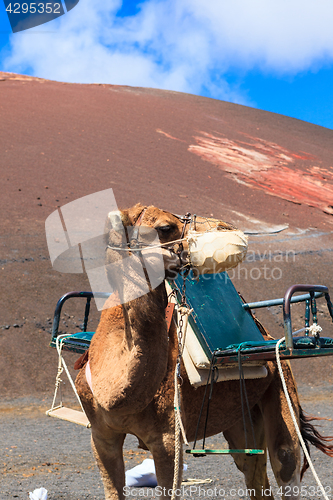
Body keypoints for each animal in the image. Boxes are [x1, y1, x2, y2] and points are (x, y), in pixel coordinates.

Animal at [75, 204, 332, 500]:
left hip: (281, 382)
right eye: (165, 227)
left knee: (285, 460)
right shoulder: (101, 436)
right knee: (253, 471)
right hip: (242, 416)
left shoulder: (167, 440)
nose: (226, 227)